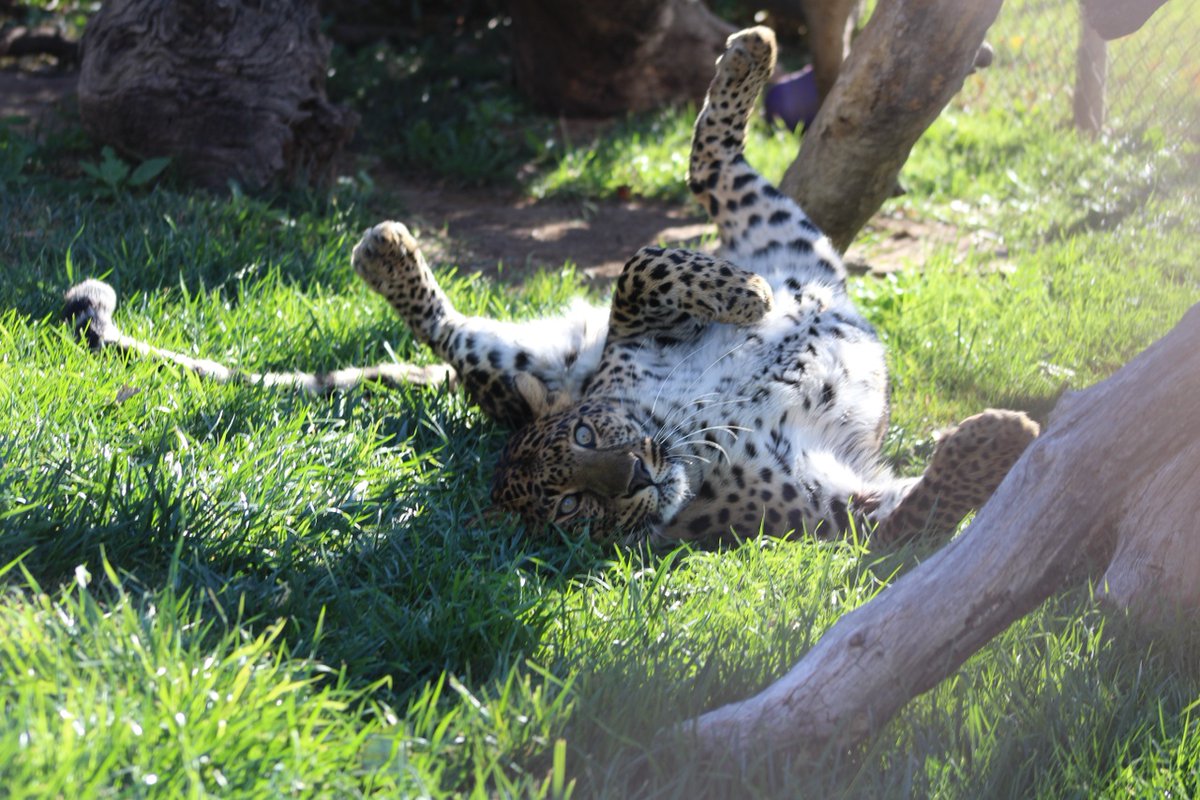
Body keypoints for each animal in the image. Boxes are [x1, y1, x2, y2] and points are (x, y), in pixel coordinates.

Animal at [65, 26, 1036, 551]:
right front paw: (1002, 435)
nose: (634, 475)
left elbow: (644, 260)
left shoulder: (635, 334)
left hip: (783, 239)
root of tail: (560, 368)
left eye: (592, 437)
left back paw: (752, 61)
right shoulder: (832, 510)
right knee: (452, 338)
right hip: (513, 361)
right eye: (571, 505)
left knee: (708, 164)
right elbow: (913, 523)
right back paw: (382, 251)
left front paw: (747, 304)